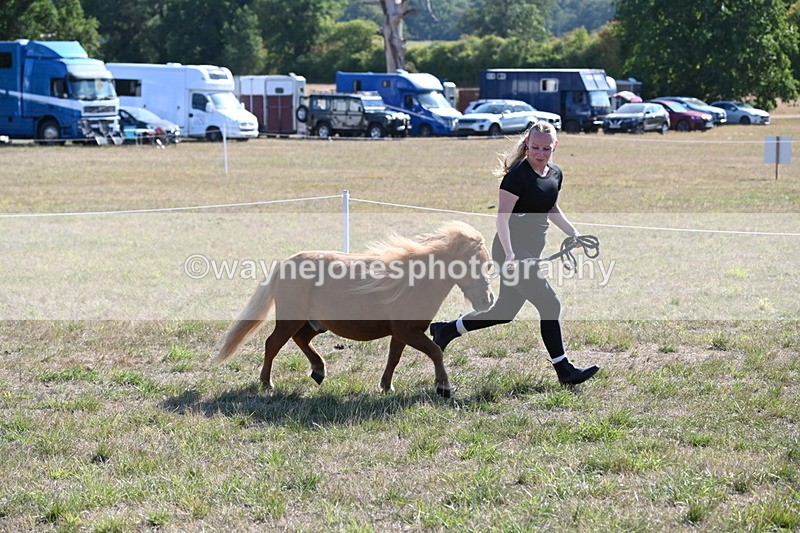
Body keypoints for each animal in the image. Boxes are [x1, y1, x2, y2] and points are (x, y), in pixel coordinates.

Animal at [216, 221, 495, 397]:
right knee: (272, 344)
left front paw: (386, 387)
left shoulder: (402, 333)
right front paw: (443, 387)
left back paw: (318, 371)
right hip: (290, 319)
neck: (415, 282)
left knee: (301, 339)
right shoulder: (408, 332)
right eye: (476, 264)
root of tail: (284, 264)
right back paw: (267, 383)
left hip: (314, 323)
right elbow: (436, 351)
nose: (488, 300)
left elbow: (394, 358)